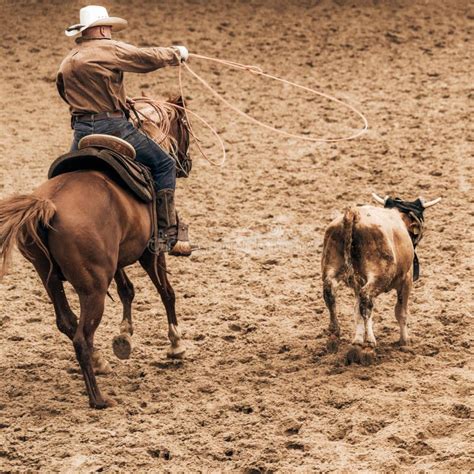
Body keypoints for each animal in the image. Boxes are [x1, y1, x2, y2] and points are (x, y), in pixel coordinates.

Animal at [1, 95, 192, 408]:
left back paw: (99, 361)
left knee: (68, 324)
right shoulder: (150, 252)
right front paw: (176, 343)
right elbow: (167, 291)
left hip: (50, 278)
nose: (185, 164)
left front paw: (124, 336)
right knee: (81, 336)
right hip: (93, 288)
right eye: (185, 124)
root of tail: (48, 205)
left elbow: (127, 290)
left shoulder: (117, 258)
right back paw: (99, 398)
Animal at [322, 193, 440, 366]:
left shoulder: (358, 283)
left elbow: (357, 311)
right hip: (378, 277)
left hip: (331, 269)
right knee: (366, 300)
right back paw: (369, 345)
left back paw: (334, 336)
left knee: (331, 294)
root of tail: (354, 215)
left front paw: (356, 343)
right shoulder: (406, 281)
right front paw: (404, 341)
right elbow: (400, 312)